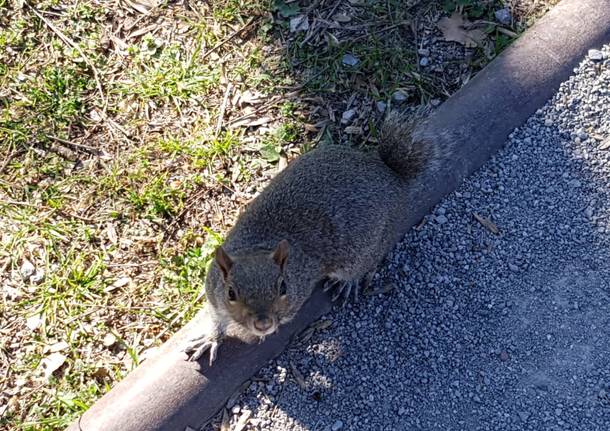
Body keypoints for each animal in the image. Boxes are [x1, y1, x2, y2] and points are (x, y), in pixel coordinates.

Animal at [180, 112, 442, 364]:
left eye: (283, 287)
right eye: (231, 293)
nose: (263, 324)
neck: (258, 245)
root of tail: (390, 174)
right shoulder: (214, 291)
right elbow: (217, 320)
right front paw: (211, 339)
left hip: (371, 246)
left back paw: (348, 283)